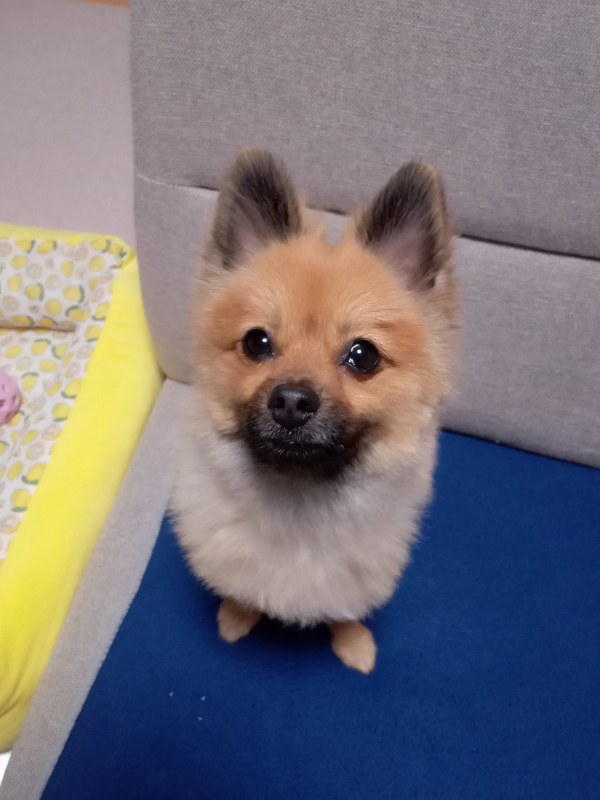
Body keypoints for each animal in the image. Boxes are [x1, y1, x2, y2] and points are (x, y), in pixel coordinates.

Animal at [173, 147, 458, 673]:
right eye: (256, 342)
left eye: (363, 355)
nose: (291, 400)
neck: (298, 502)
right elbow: (242, 591)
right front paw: (237, 615)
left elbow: (344, 610)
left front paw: (354, 642)